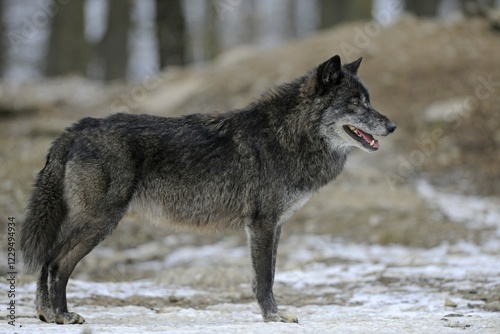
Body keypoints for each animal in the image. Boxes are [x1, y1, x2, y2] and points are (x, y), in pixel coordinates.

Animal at [19, 54, 396, 324]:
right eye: (355, 104)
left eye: (368, 100)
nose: (392, 126)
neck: (289, 135)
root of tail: (78, 128)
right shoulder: (262, 224)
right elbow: (265, 277)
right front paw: (272, 317)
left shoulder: (273, 226)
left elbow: (268, 274)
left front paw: (273, 313)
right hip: (100, 223)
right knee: (57, 263)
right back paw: (61, 315)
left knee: (50, 261)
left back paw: (47, 314)